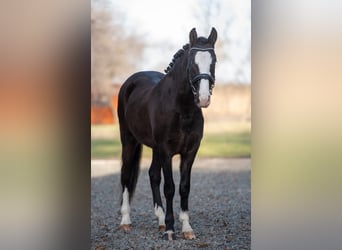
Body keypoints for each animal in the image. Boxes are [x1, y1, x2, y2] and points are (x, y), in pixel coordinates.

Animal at [117, 27, 218, 240]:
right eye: (192, 63)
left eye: (213, 61)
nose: (203, 99)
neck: (181, 109)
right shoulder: (166, 151)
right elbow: (170, 188)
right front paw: (171, 230)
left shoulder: (189, 152)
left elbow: (184, 187)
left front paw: (186, 228)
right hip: (129, 141)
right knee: (125, 175)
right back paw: (126, 221)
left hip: (154, 149)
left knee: (153, 175)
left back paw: (161, 220)